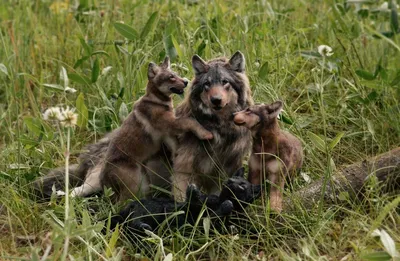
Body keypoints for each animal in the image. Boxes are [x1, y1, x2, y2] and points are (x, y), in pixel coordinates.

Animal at [171, 51, 253, 201]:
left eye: (225, 82)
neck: (219, 129)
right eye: (207, 84)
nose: (216, 100)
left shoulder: (224, 172)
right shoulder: (184, 169)